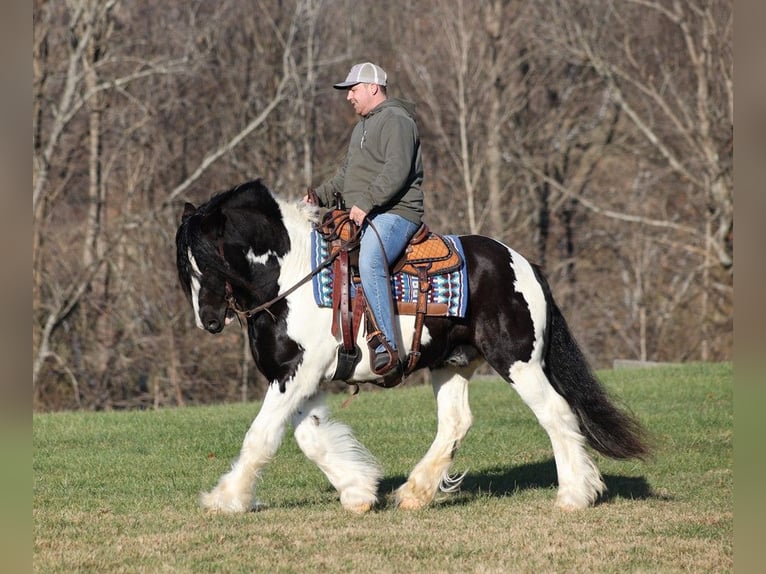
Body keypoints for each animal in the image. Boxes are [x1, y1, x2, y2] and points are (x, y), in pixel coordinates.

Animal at [177, 179, 652, 512]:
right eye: (188, 266)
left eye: (207, 260)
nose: (209, 320)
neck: (292, 277)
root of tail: (523, 263)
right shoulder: (299, 377)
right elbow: (309, 437)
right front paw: (358, 490)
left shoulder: (297, 373)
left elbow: (261, 436)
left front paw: (226, 498)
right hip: (452, 363)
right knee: (456, 423)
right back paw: (415, 492)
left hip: (518, 362)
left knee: (556, 413)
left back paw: (574, 495)